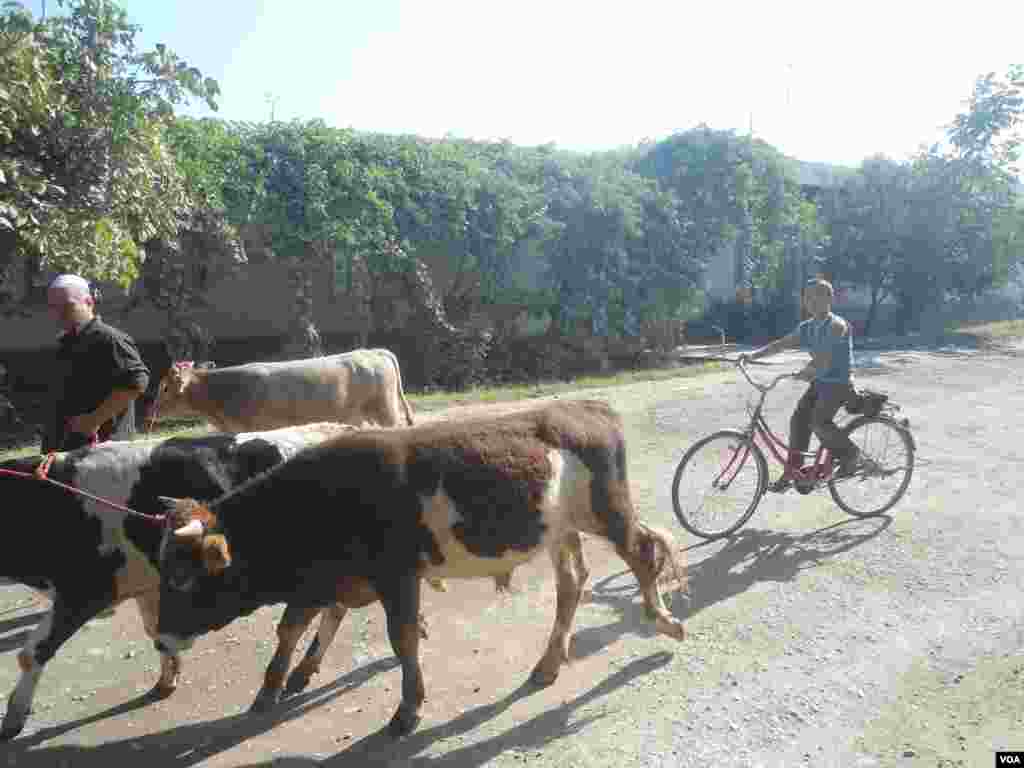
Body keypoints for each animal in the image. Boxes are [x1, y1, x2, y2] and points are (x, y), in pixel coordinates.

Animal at [155, 399, 688, 737]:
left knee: (643, 552)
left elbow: (403, 639)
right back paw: (548, 663)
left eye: (184, 578)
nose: (160, 639)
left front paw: (407, 710)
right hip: (560, 530)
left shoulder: (396, 576)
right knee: (573, 583)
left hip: (606, 511)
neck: (321, 500)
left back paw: (664, 620)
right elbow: (291, 627)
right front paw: (271, 688)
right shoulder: (324, 579)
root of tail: (585, 407)